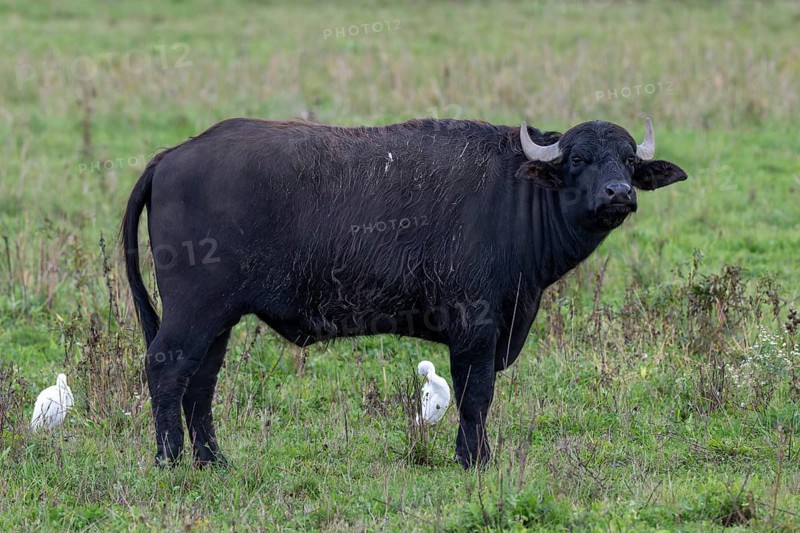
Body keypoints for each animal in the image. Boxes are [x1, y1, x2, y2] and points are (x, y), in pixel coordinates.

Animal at [122, 116, 686, 468]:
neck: (516, 195)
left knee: (201, 383)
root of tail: (171, 157)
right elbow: (475, 394)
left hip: (219, 319)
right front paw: (474, 459)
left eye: (628, 161)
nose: (619, 194)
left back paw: (213, 461)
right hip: (193, 312)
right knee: (166, 369)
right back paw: (170, 460)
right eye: (579, 160)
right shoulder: (476, 327)